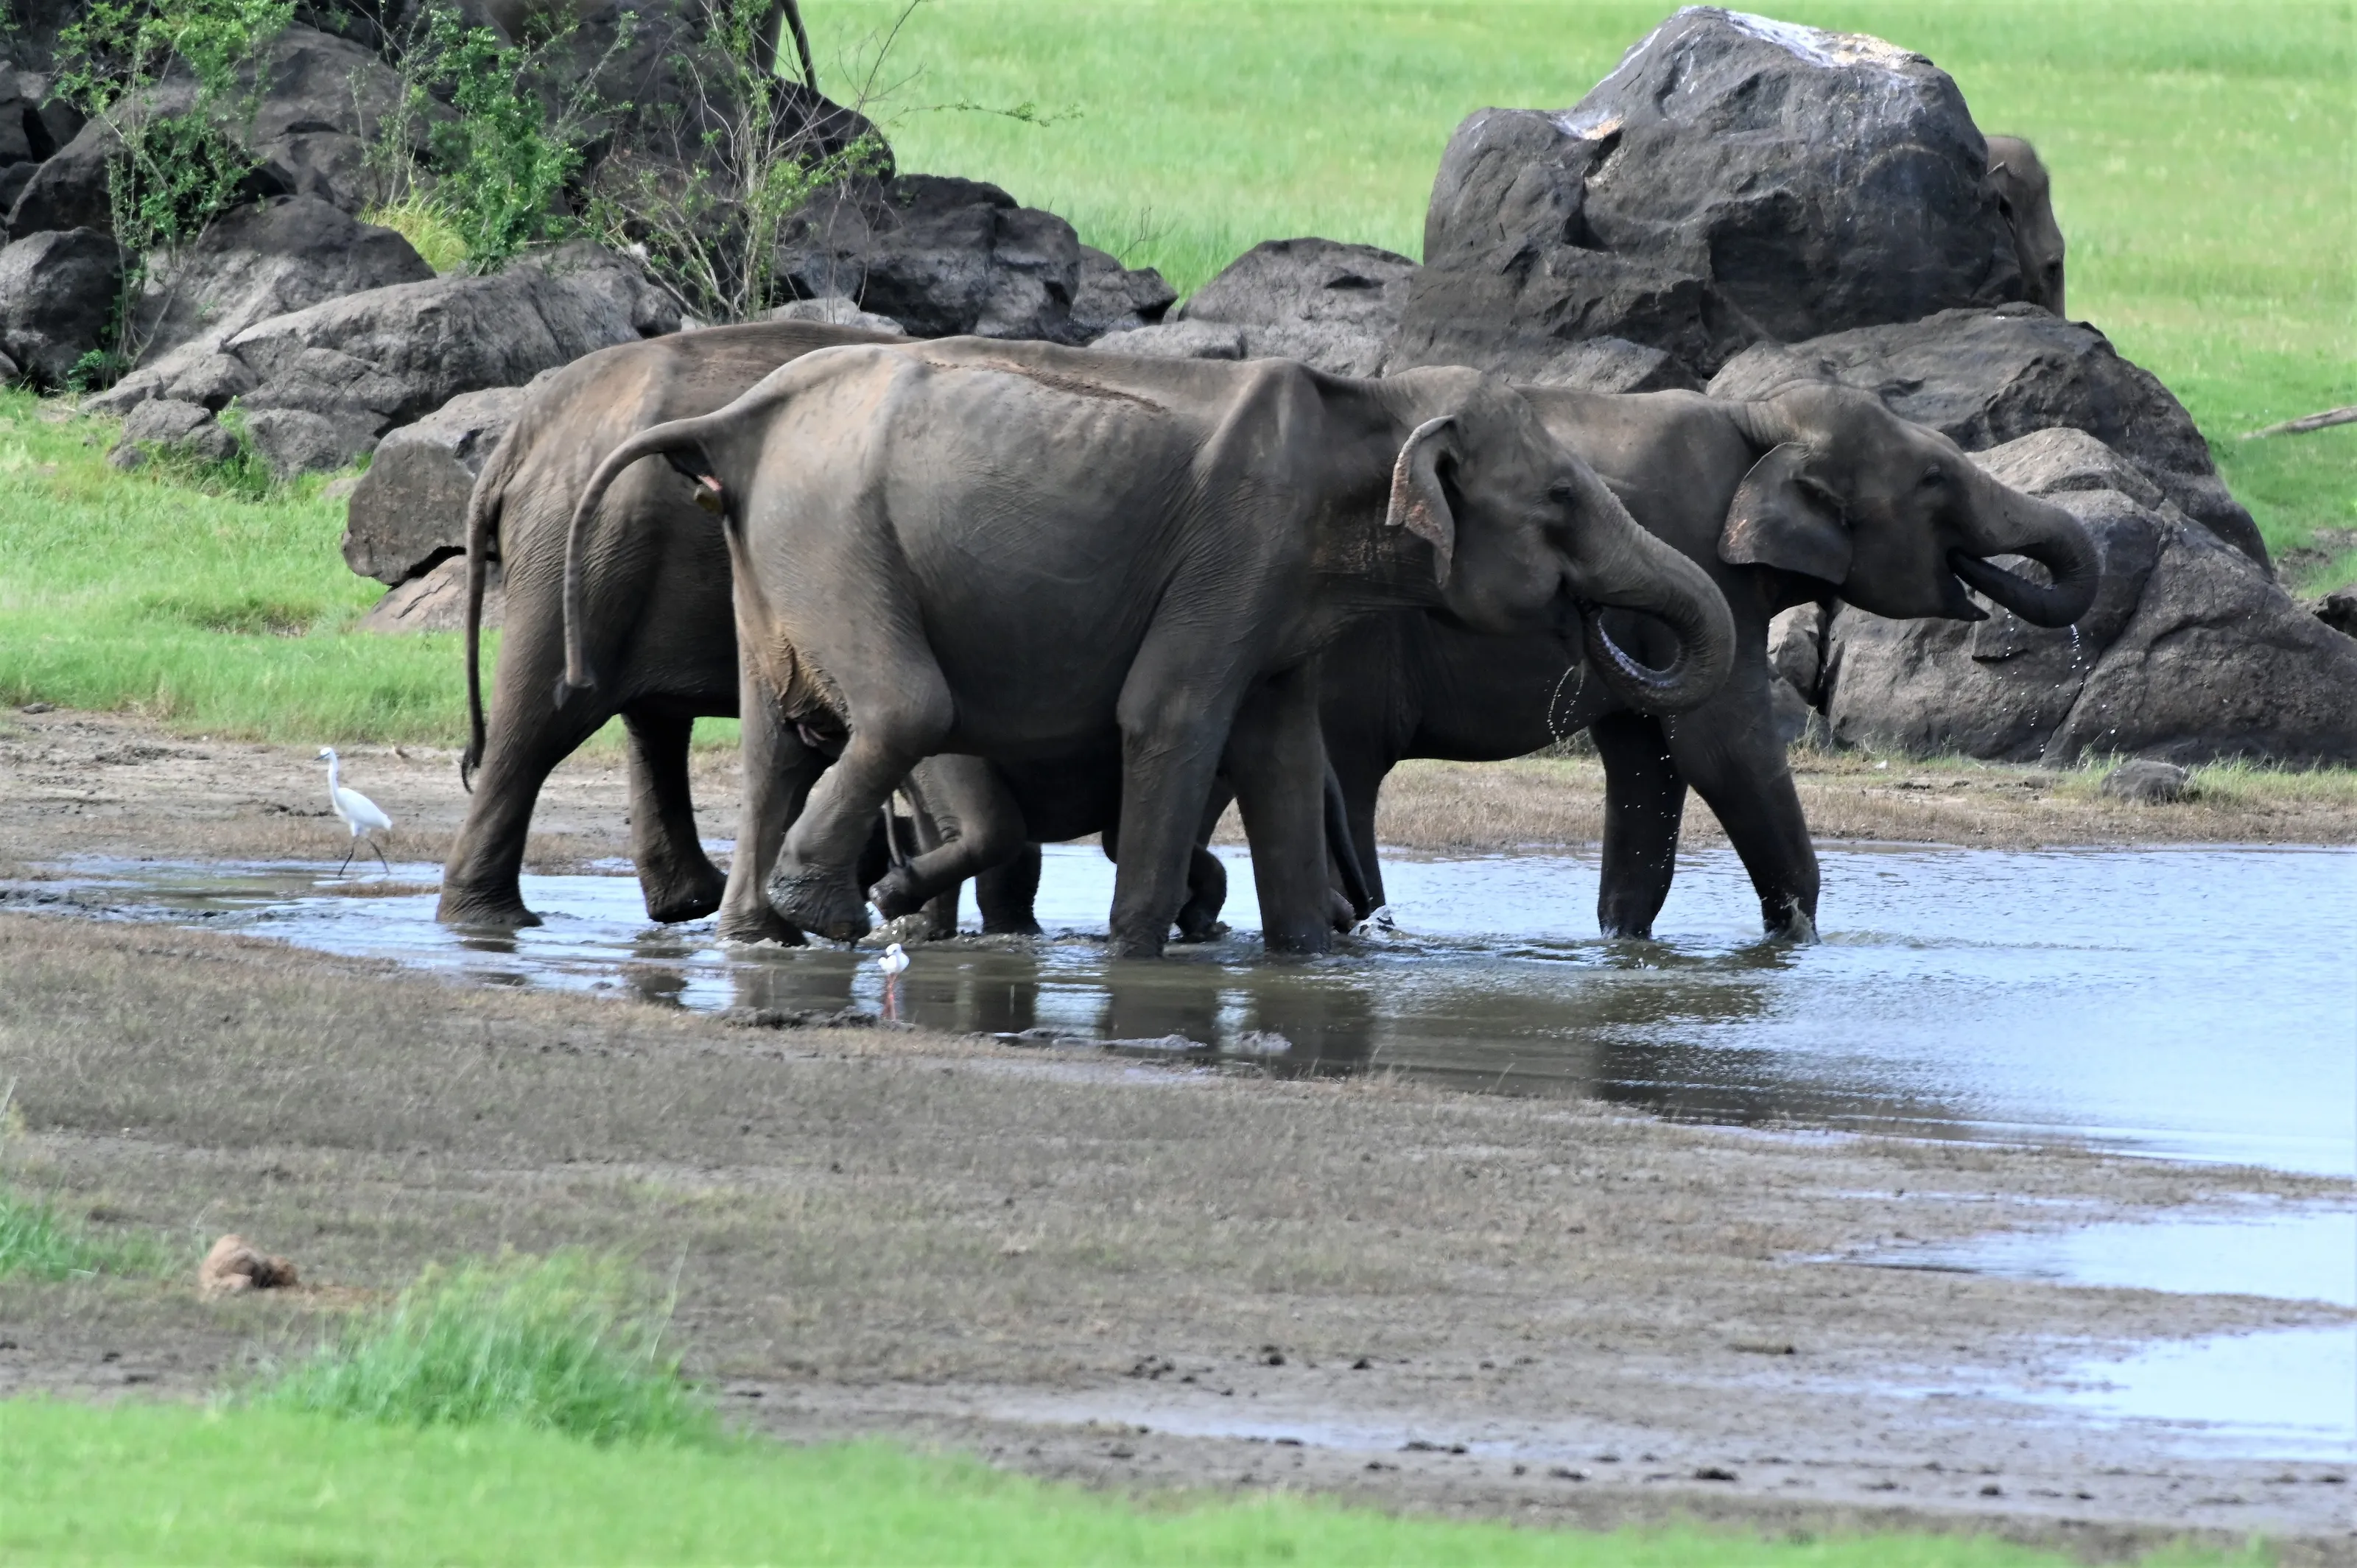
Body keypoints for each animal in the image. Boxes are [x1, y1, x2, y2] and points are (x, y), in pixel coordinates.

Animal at [557, 338, 1737, 957]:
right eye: (1559, 501)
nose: (1597, 626)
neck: (1375, 405)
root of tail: (745, 415)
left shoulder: (1278, 589)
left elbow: (1283, 754)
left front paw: (1306, 959)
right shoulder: (1240, 545)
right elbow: (1169, 717)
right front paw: (1139, 954)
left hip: (776, 548)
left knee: (779, 742)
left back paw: (761, 933)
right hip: (837, 533)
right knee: (908, 710)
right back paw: (842, 912)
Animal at [1310, 381, 2100, 941]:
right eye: (1935, 478)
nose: (1583, 611)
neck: (1760, 419)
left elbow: (1648, 762)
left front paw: (1624, 945)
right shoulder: (1701, 554)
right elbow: (1722, 749)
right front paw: (1794, 941)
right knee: (1352, 780)